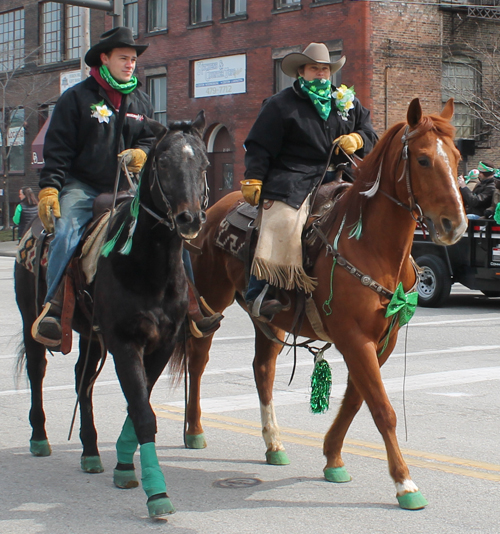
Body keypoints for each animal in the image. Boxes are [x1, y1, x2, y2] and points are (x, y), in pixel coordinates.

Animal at [14, 112, 209, 520]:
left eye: (203, 163)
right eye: (162, 162)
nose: (190, 218)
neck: (146, 264)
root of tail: (31, 229)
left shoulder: (161, 344)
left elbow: (139, 405)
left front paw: (122, 464)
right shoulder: (124, 342)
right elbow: (143, 412)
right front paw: (156, 493)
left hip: (91, 337)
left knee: (82, 381)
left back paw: (90, 451)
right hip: (30, 321)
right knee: (37, 372)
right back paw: (39, 437)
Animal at [186, 98, 466, 512]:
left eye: (458, 157)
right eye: (423, 159)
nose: (455, 225)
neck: (372, 247)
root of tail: (216, 207)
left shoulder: (382, 341)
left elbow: (355, 400)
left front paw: (333, 457)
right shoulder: (354, 338)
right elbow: (382, 408)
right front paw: (404, 483)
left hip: (269, 320)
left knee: (263, 370)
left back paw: (274, 443)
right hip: (211, 301)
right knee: (199, 359)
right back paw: (193, 430)